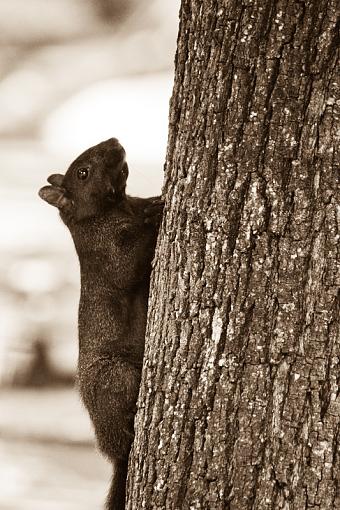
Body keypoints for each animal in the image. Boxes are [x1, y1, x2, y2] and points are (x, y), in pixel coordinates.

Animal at [38, 138, 163, 510]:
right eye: (83, 172)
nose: (115, 141)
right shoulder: (105, 252)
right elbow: (126, 265)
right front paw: (155, 215)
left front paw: (156, 200)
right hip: (115, 377)